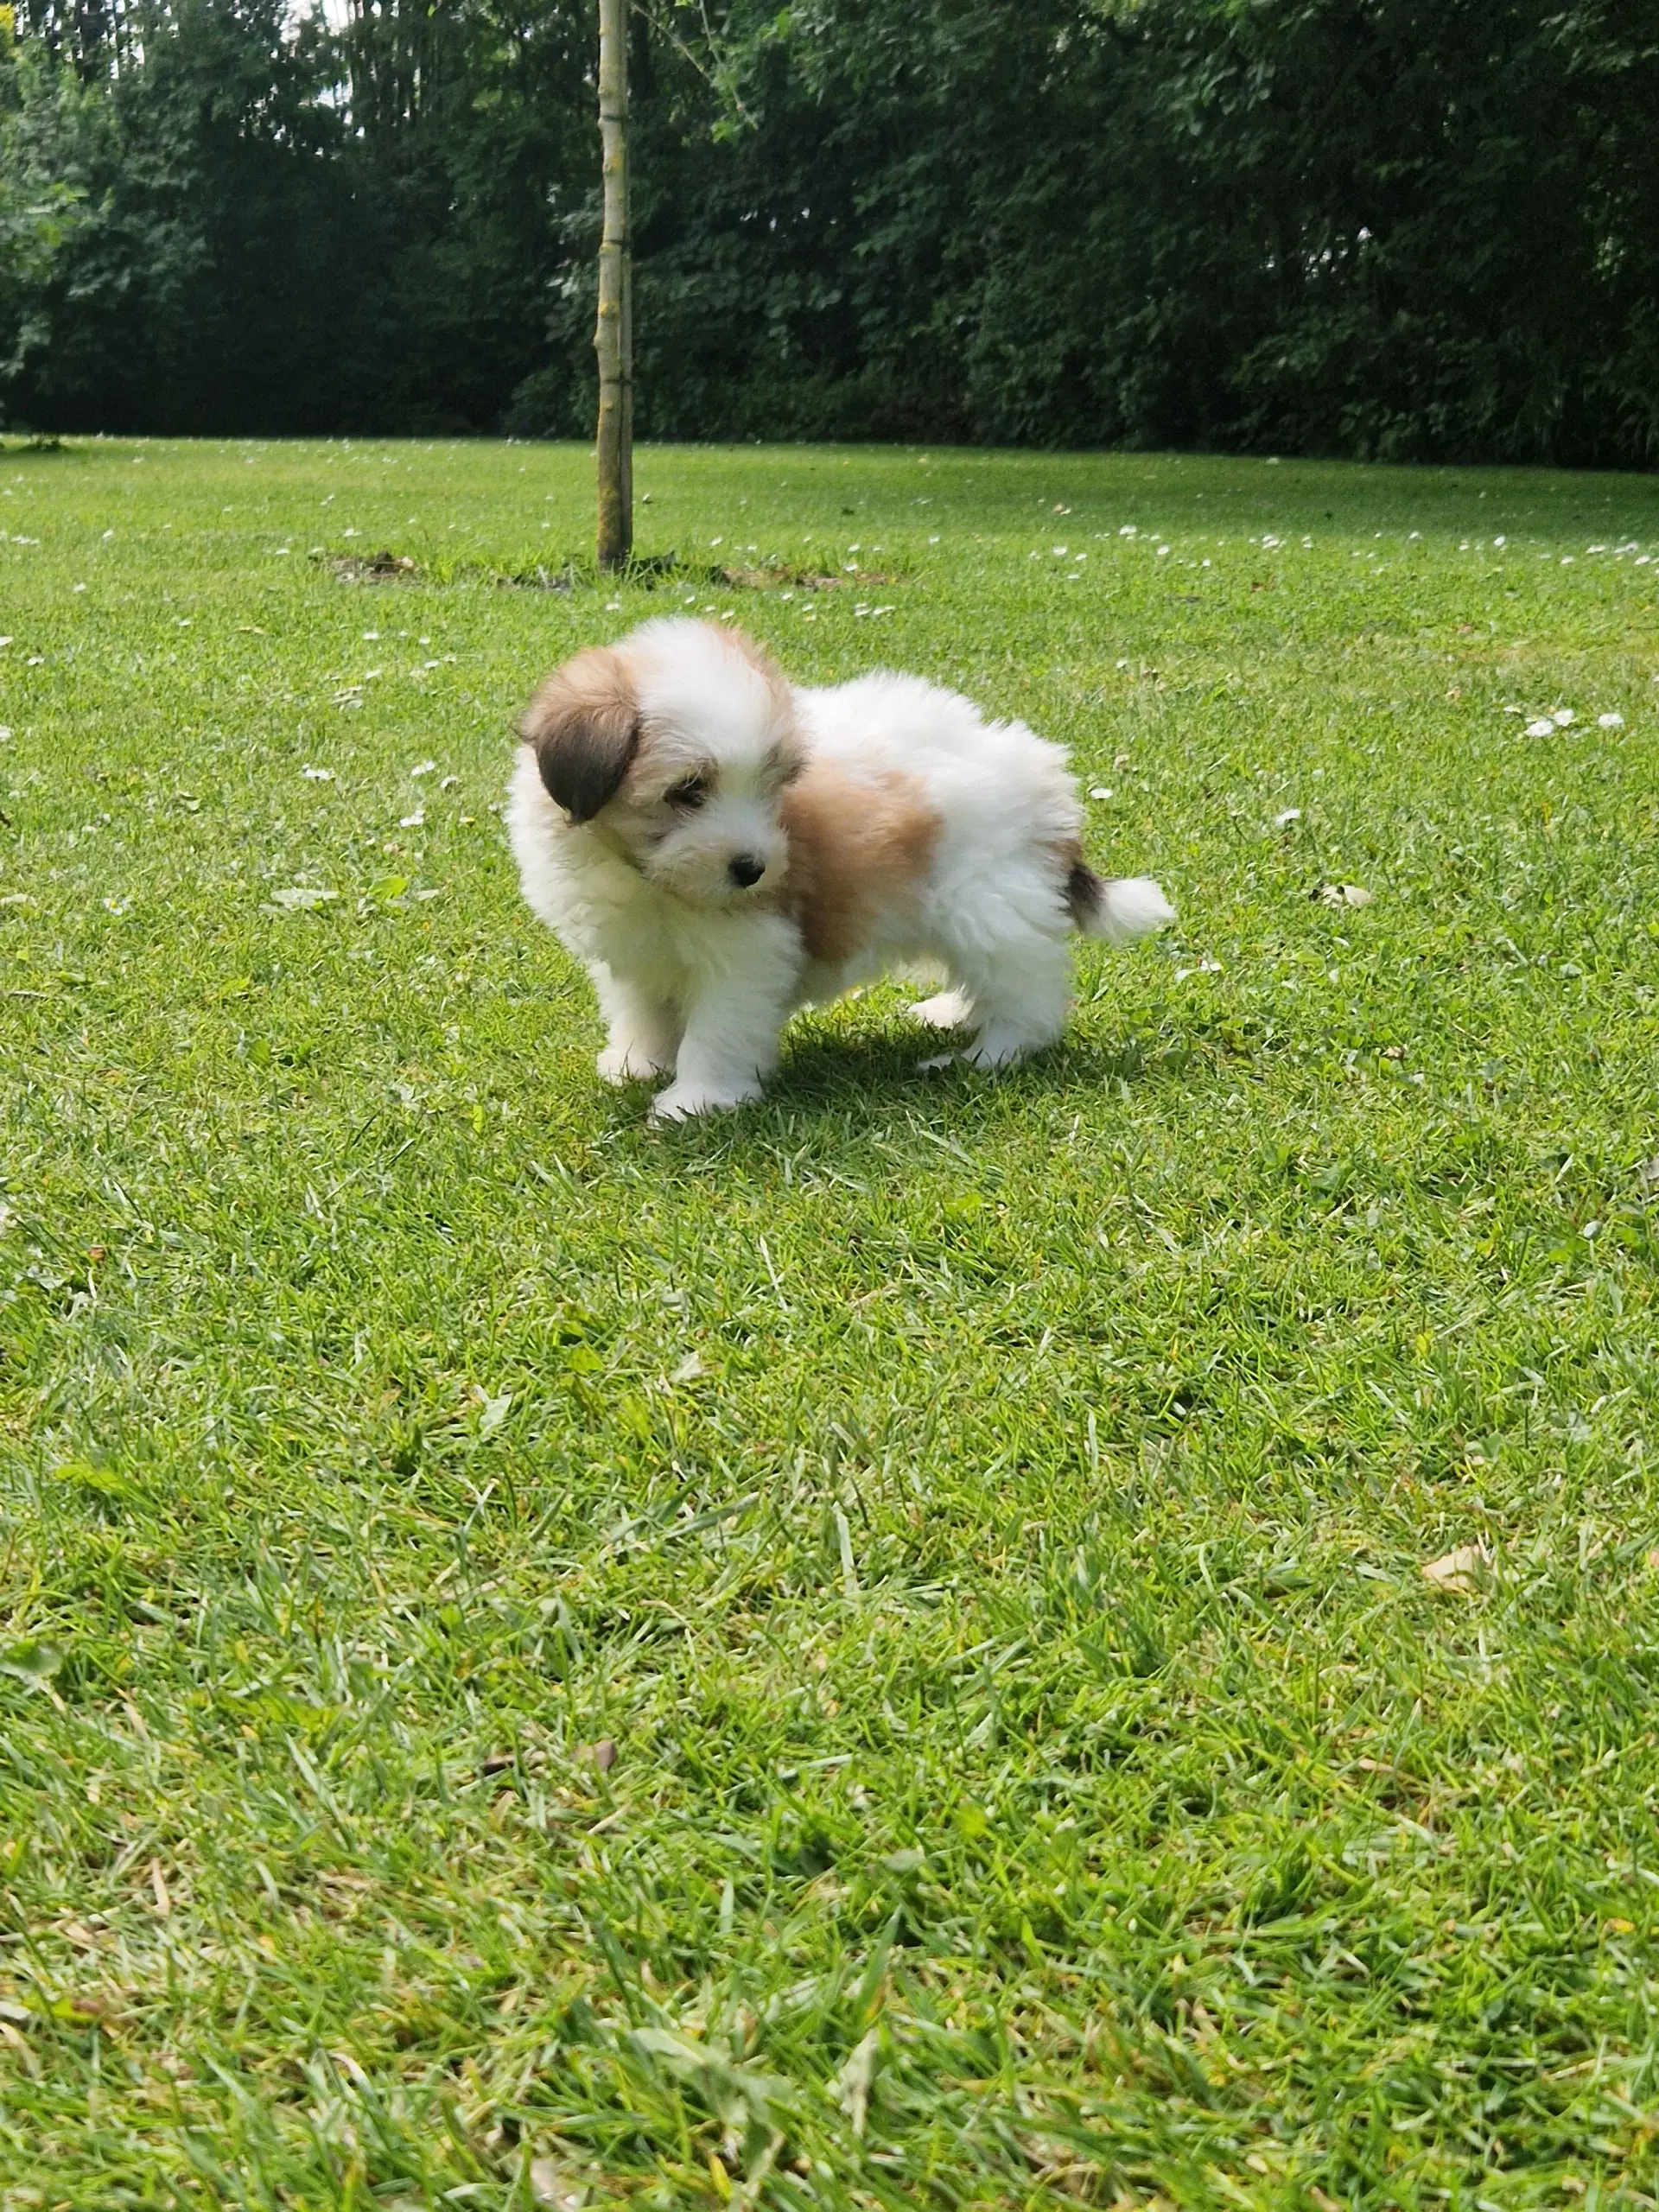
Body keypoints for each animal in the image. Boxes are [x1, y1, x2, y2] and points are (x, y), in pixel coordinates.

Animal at [506, 614, 1167, 1115]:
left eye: (772, 785)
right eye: (688, 790)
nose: (753, 869)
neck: (646, 878)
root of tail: (1048, 785)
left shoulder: (749, 951)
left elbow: (718, 1025)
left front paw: (697, 1100)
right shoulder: (636, 954)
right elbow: (643, 1009)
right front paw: (637, 1064)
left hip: (986, 901)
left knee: (1026, 994)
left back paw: (987, 1055)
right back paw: (950, 1013)